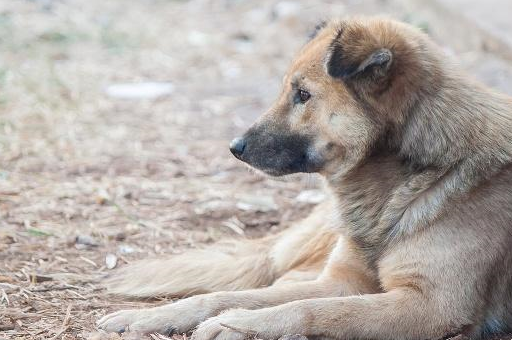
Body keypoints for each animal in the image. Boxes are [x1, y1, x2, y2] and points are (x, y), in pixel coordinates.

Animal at [98, 16, 512, 340]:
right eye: (290, 90)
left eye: (302, 94)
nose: (234, 147)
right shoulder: (343, 281)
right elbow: (235, 296)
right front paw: (157, 316)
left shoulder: (432, 307)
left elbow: (313, 309)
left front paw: (236, 324)